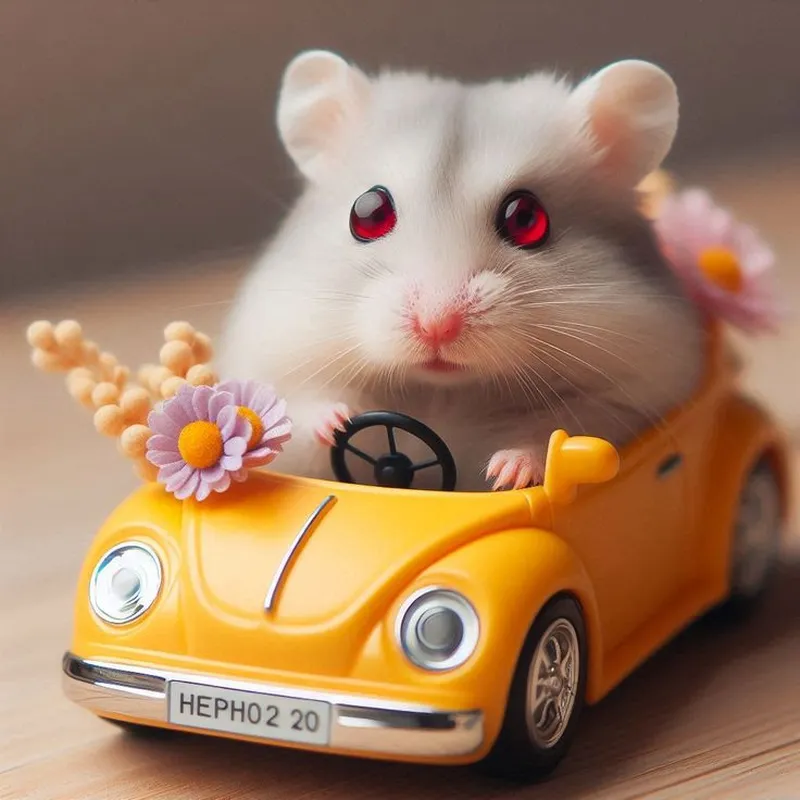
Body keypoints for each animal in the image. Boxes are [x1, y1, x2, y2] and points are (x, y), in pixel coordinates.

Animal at [218, 50, 704, 492]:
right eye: (367, 213)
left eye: (527, 218)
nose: (436, 326)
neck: (443, 391)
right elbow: (292, 413)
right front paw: (337, 422)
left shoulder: (631, 400)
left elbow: (559, 433)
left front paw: (507, 472)